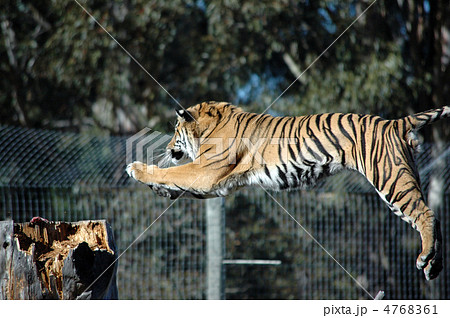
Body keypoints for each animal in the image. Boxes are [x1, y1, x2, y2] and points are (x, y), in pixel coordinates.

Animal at [125, 100, 448, 280]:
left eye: (175, 130)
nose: (170, 147)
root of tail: (396, 121)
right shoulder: (215, 182)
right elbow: (177, 180)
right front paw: (161, 189)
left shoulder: (207, 171)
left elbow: (174, 172)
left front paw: (137, 168)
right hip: (404, 176)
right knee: (434, 216)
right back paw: (433, 265)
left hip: (391, 180)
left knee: (427, 213)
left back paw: (425, 258)